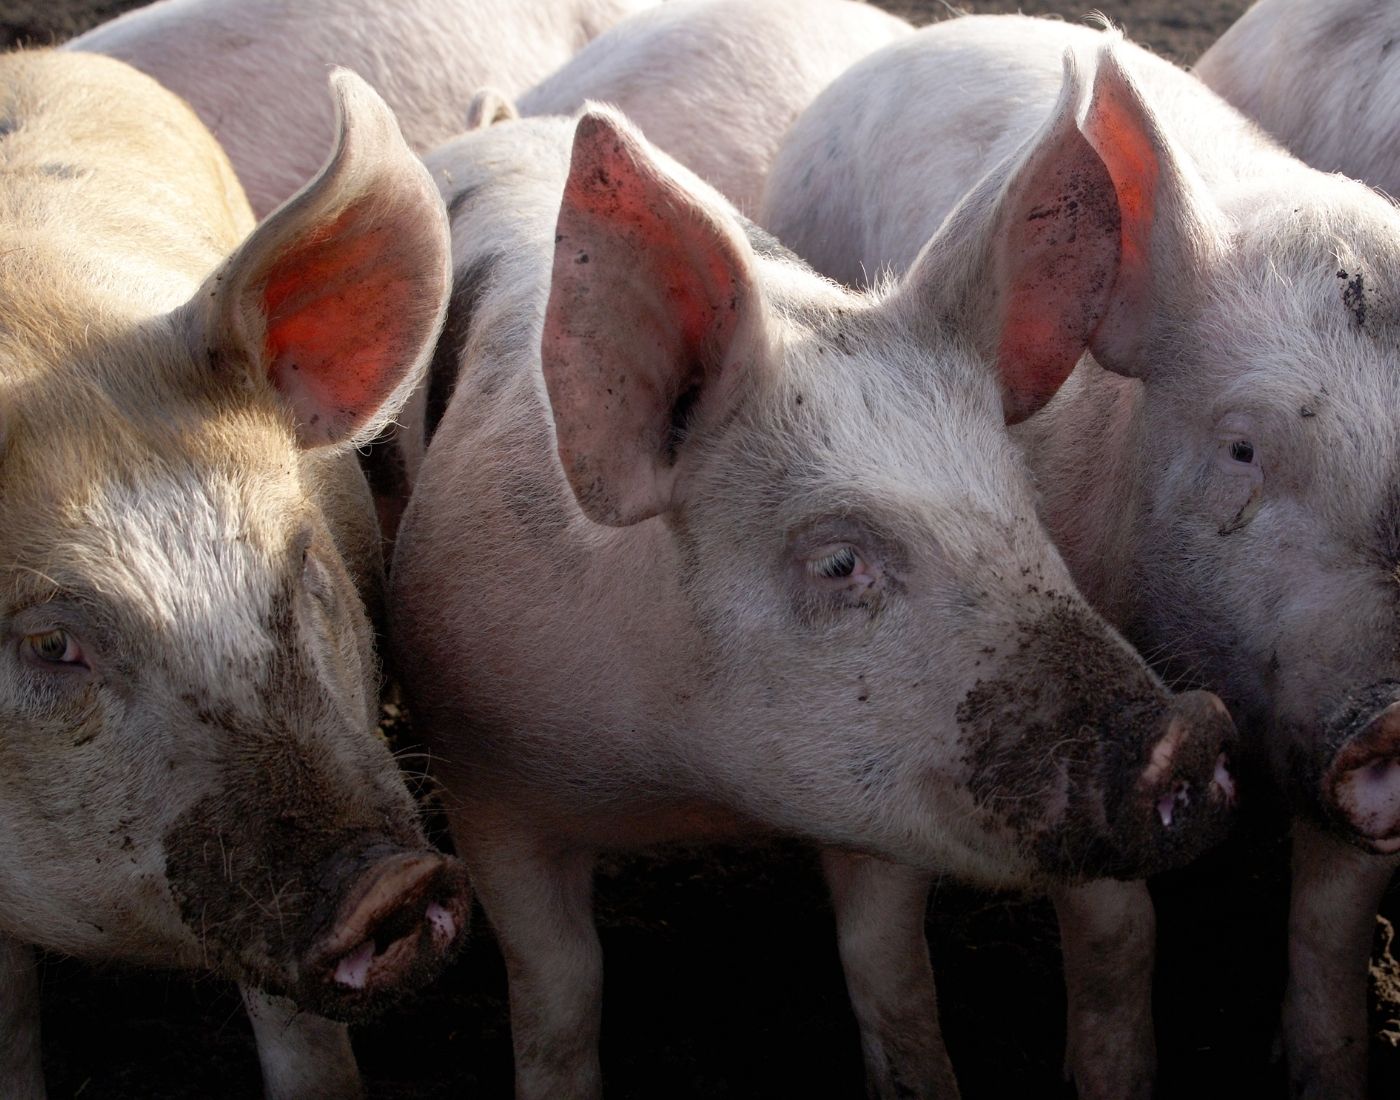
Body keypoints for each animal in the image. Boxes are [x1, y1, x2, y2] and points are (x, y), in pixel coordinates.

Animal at [389, 73, 1238, 1097]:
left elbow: (889, 971)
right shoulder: (480, 775)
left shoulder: (875, 799)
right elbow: (559, 996)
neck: (687, 787)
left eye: (1023, 500)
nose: (1191, 731)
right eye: (837, 562)